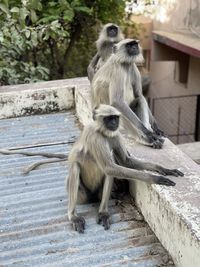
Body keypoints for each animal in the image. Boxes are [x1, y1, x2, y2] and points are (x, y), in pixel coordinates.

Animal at [66, 103, 184, 233]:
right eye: (108, 118)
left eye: (115, 118)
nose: (114, 123)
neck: (102, 132)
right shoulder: (95, 137)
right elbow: (109, 167)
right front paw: (155, 178)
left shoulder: (115, 135)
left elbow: (125, 162)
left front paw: (164, 169)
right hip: (81, 195)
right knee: (77, 167)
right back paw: (73, 216)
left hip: (98, 192)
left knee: (109, 172)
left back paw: (103, 213)